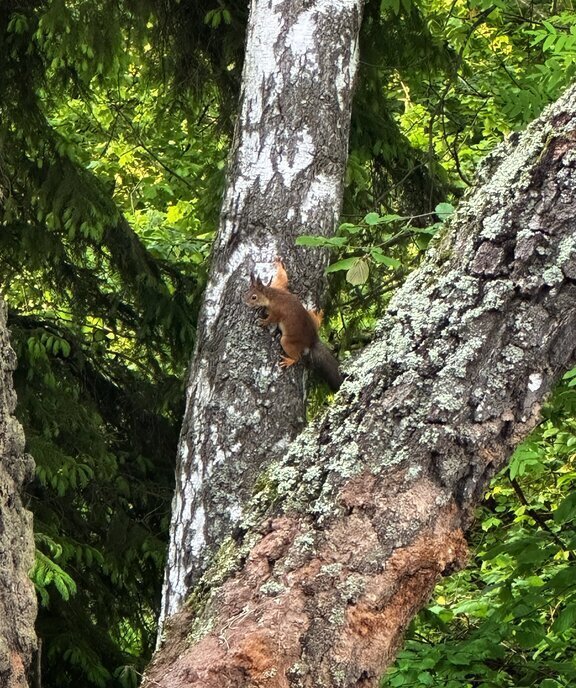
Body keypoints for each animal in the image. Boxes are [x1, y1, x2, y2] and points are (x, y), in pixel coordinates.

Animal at [244, 256, 342, 390]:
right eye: (247, 292)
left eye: (254, 297)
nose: (245, 302)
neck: (272, 295)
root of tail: (312, 341)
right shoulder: (279, 286)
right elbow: (283, 278)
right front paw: (278, 263)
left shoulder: (277, 311)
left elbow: (272, 319)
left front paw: (263, 322)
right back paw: (318, 316)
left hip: (287, 341)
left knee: (297, 357)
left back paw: (289, 361)